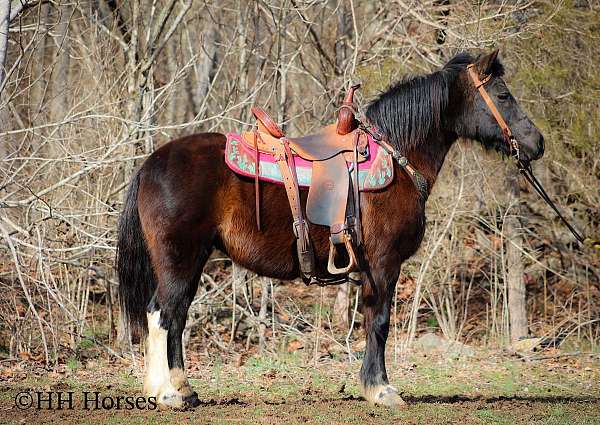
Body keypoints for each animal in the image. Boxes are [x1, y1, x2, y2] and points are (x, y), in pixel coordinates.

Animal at [116, 49, 544, 408]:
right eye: (503, 95)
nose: (536, 143)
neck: (397, 156)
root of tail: (151, 163)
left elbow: (373, 320)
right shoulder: (383, 264)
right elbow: (379, 321)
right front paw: (381, 389)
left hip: (192, 260)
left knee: (177, 316)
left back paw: (183, 389)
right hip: (179, 259)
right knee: (161, 314)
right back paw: (166, 394)